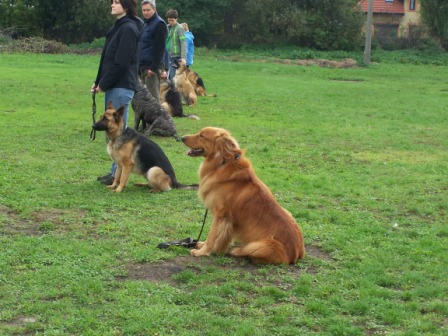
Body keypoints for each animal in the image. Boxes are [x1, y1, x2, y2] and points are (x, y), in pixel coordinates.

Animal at [181, 127, 304, 264]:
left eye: (202, 136)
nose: (181, 138)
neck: (222, 162)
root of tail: (297, 253)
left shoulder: (221, 215)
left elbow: (212, 235)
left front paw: (203, 251)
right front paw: (203, 245)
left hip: (261, 245)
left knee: (249, 251)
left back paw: (237, 250)